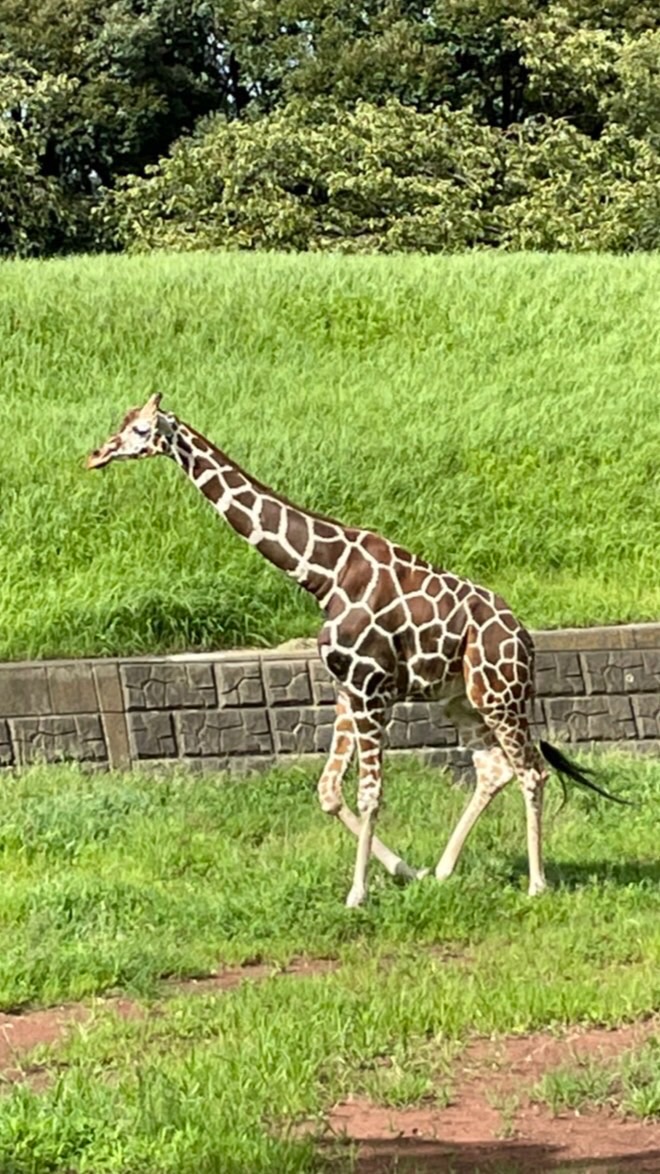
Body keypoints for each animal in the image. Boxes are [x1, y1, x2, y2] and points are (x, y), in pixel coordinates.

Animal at [87, 394, 624, 906]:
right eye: (121, 421)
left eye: (141, 429)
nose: (97, 455)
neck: (323, 574)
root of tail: (525, 638)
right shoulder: (347, 689)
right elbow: (328, 791)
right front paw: (405, 870)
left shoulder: (371, 690)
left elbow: (370, 794)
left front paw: (357, 894)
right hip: (460, 700)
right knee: (493, 769)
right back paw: (442, 871)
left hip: (500, 695)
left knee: (531, 771)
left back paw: (537, 885)